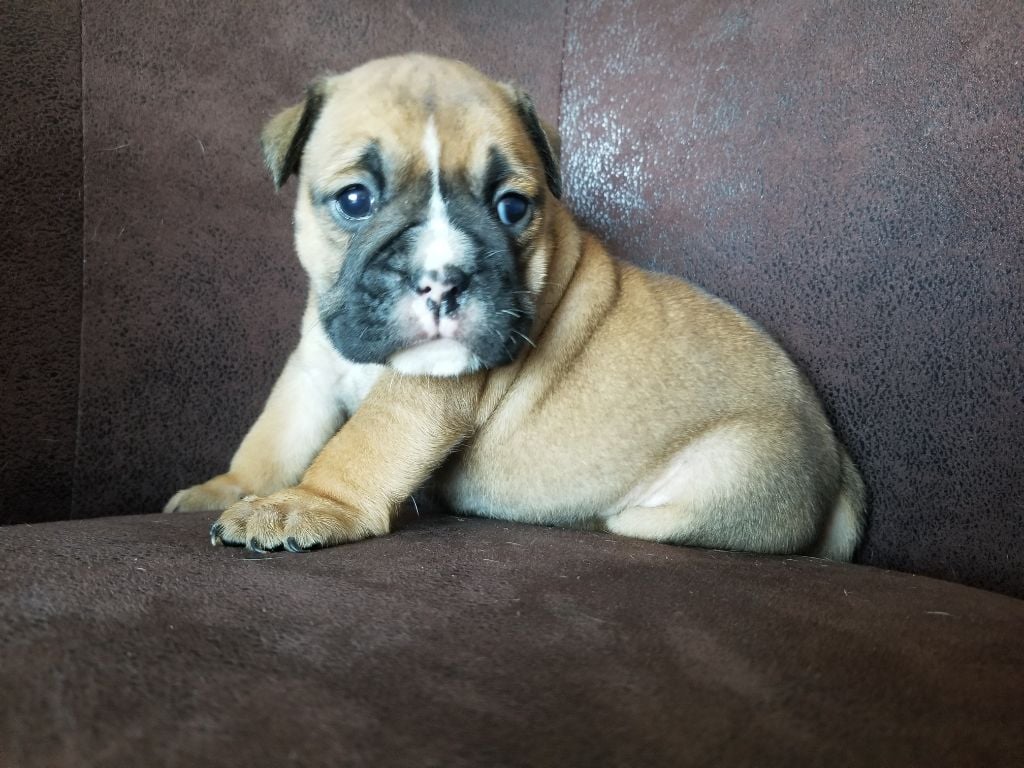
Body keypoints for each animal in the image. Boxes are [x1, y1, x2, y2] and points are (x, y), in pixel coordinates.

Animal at [164, 53, 866, 559]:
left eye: (512, 207)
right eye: (356, 200)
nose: (443, 279)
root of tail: (836, 467)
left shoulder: (424, 387)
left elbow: (361, 444)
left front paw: (309, 502)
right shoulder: (312, 367)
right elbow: (275, 437)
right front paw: (228, 490)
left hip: (721, 480)